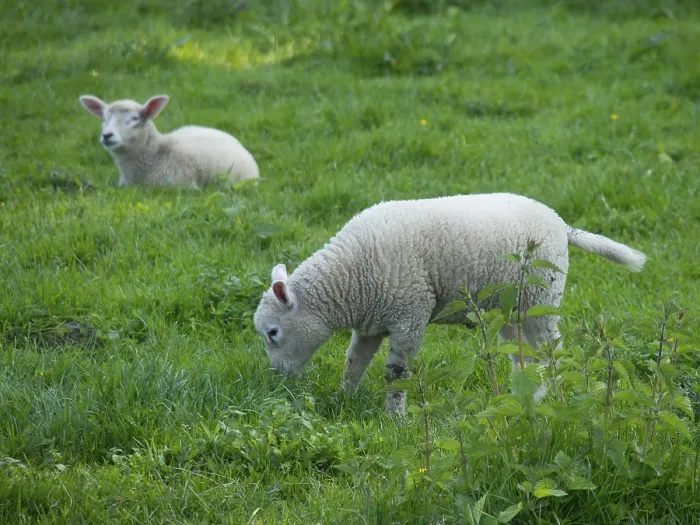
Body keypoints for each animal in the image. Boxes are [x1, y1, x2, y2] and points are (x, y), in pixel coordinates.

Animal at [253, 193, 647, 415]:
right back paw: (525, 398)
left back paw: (550, 397)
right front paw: (345, 397)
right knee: (526, 356)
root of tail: (561, 223)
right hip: (511, 310)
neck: (349, 279)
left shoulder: (410, 314)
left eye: (273, 333)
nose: (277, 379)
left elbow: (397, 373)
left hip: (541, 298)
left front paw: (395, 418)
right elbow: (355, 361)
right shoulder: (372, 322)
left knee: (552, 351)